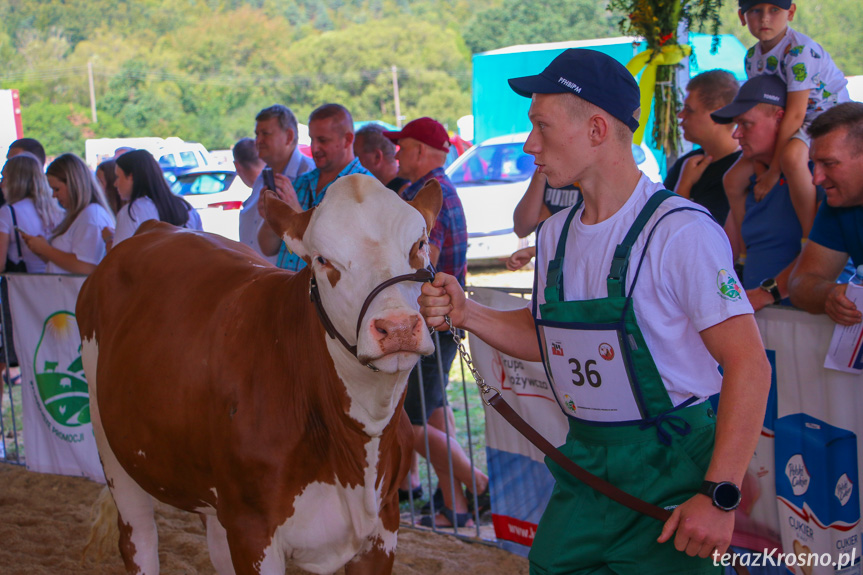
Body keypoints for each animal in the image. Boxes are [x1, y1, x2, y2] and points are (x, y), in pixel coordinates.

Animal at [77, 176, 442, 575]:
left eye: (419, 244)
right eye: (322, 260)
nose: (398, 327)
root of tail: (155, 227)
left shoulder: (383, 525)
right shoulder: (251, 530)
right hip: (113, 446)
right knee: (138, 538)